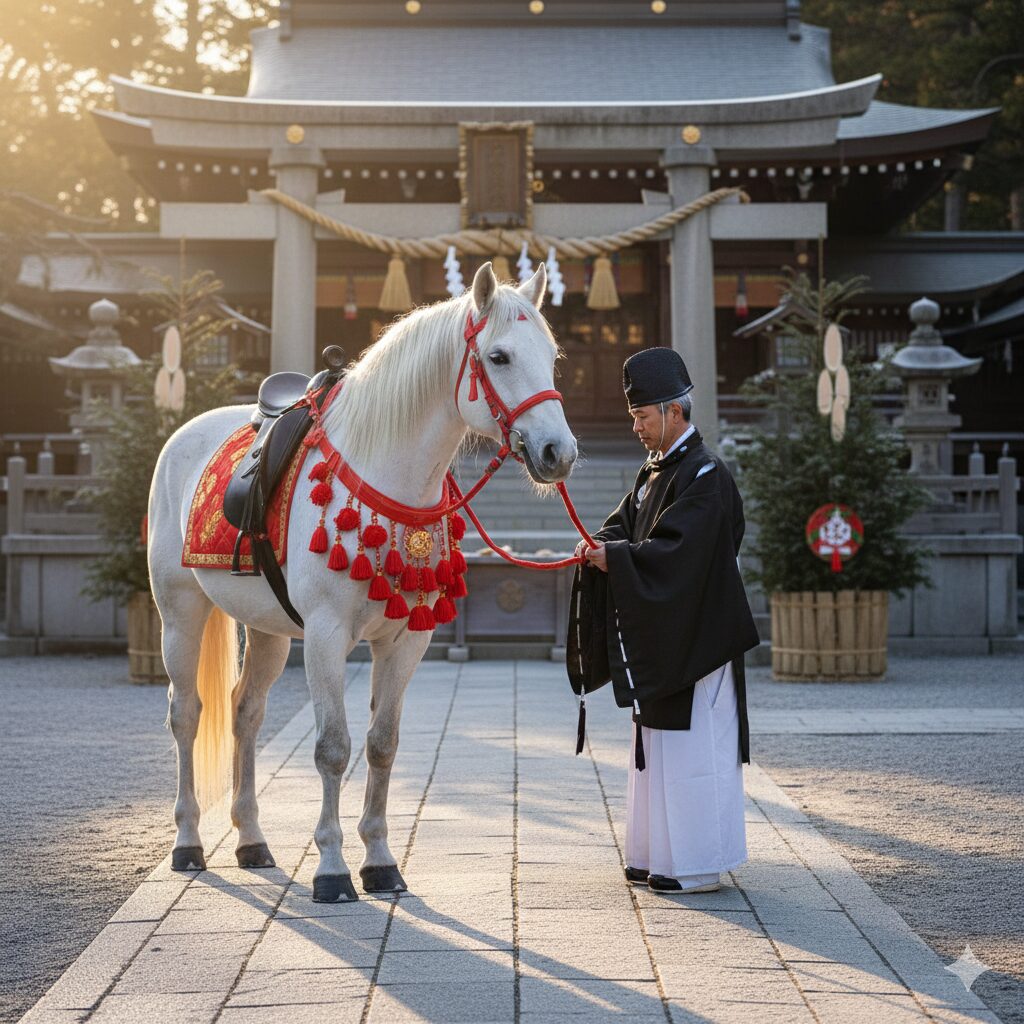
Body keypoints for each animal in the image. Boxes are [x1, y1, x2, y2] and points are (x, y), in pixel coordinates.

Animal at [147, 261, 577, 901]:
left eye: (551, 358)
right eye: (499, 357)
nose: (558, 452)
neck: (389, 471)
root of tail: (186, 432)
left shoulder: (407, 637)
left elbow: (381, 744)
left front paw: (379, 860)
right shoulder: (327, 634)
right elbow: (333, 749)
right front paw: (331, 867)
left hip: (268, 626)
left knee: (246, 710)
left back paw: (251, 840)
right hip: (179, 608)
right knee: (187, 714)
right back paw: (188, 842)